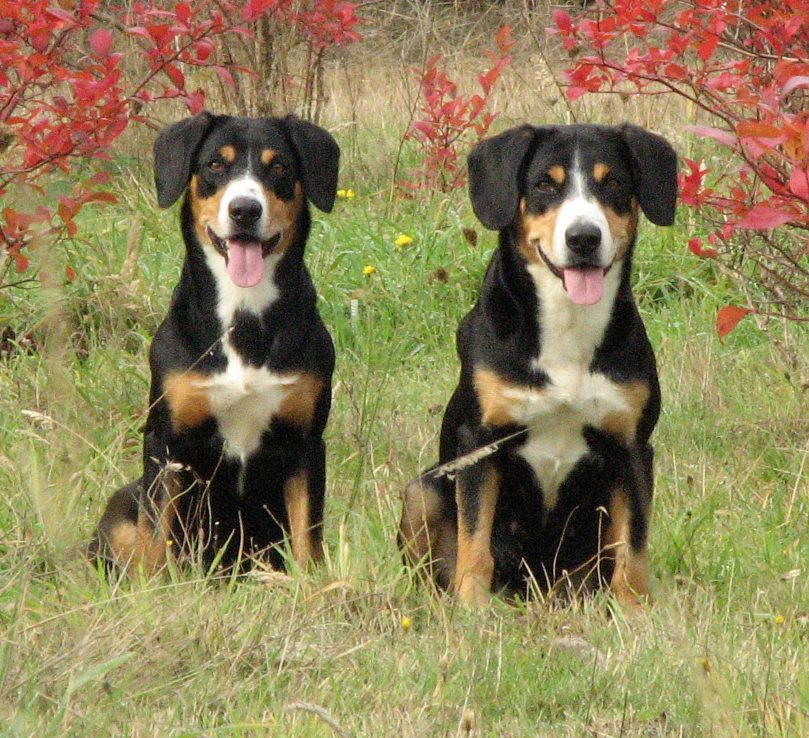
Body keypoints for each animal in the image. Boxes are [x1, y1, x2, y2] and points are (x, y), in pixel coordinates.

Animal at [90, 112, 340, 576]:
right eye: (215, 165)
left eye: (278, 167)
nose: (245, 209)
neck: (243, 317)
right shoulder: (165, 444)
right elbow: (157, 536)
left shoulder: (306, 444)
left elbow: (307, 540)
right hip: (123, 507)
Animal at [400, 121, 680, 604]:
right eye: (545, 184)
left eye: (613, 182)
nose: (583, 237)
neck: (568, 324)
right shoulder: (480, 442)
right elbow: (475, 543)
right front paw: (473, 608)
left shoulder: (632, 448)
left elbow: (633, 550)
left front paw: (634, 611)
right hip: (424, 489)